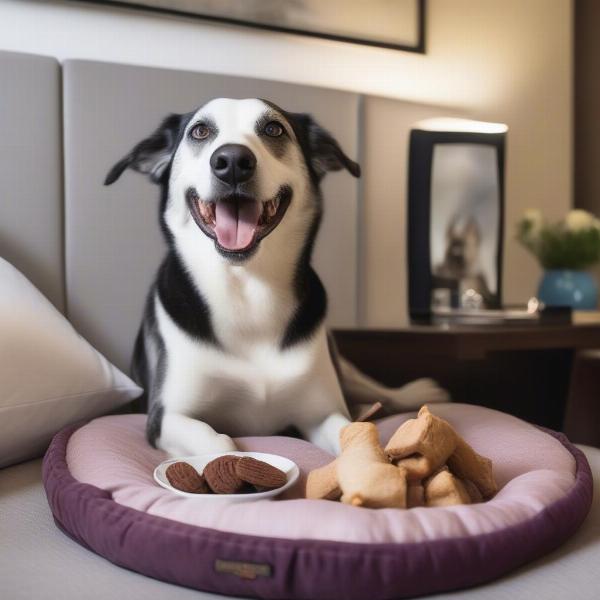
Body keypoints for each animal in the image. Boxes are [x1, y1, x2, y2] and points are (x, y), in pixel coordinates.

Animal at [105, 98, 448, 454]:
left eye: (273, 129)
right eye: (199, 131)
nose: (232, 161)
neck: (248, 289)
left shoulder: (323, 412)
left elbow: (355, 437)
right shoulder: (166, 417)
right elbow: (217, 444)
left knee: (365, 383)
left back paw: (415, 392)